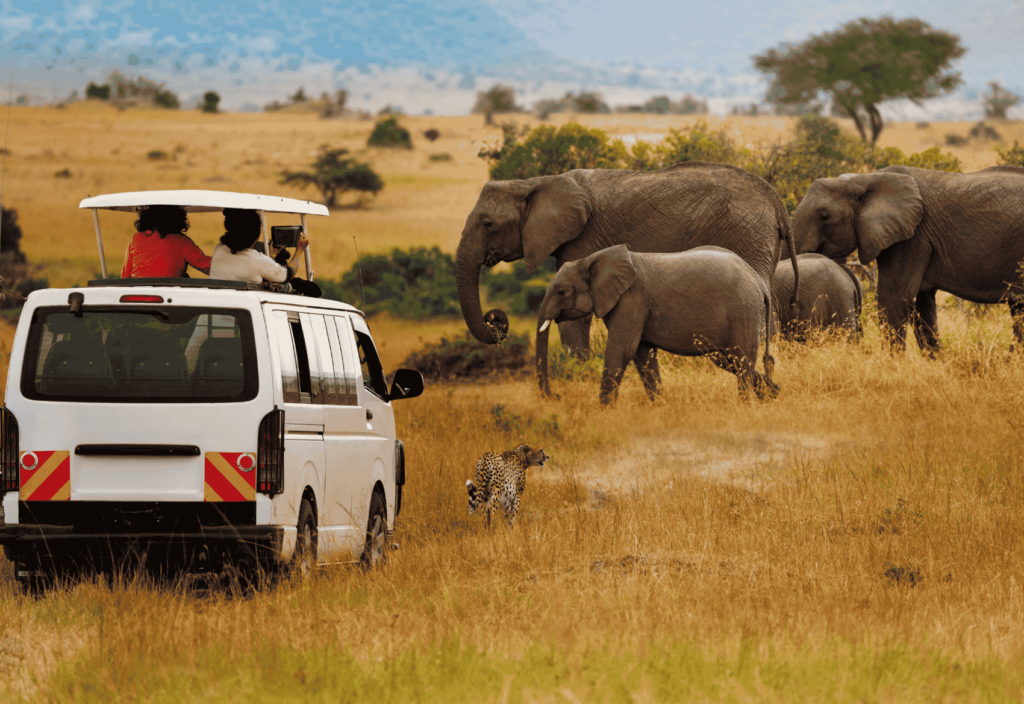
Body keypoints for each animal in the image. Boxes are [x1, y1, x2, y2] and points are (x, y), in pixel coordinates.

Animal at [456, 162, 798, 360]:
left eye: (488, 224)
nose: (495, 318)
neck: (532, 183)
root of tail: (777, 203)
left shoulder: (582, 238)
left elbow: (574, 316)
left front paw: (577, 373)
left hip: (747, 234)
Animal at [536, 246, 774, 401]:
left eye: (561, 292)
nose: (556, 396)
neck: (591, 259)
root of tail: (760, 282)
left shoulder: (631, 300)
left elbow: (621, 351)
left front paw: (603, 412)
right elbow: (643, 355)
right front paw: (658, 406)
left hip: (743, 310)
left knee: (741, 359)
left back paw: (747, 405)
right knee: (728, 359)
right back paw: (773, 393)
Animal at [794, 164, 1024, 352]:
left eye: (824, 216)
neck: (864, 179)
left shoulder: (913, 236)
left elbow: (893, 297)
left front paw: (892, 366)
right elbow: (922, 306)